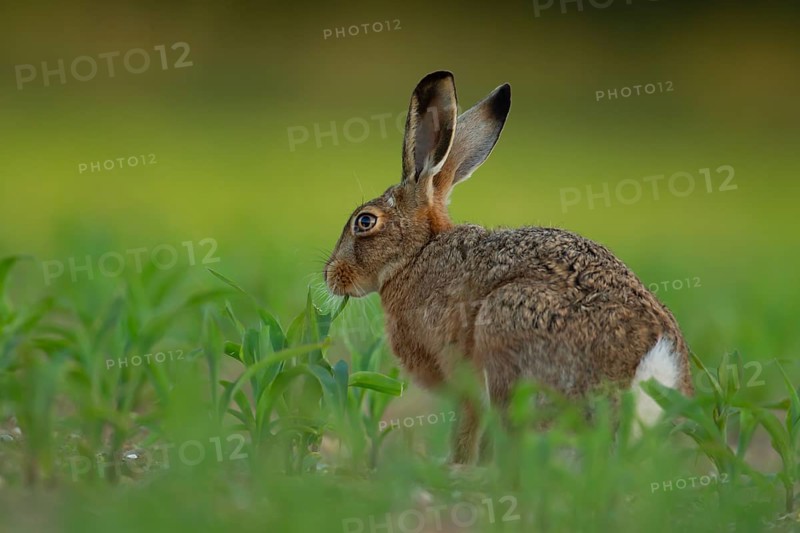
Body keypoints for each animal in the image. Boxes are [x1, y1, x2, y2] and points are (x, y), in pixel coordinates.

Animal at [324, 71, 693, 464]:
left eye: (365, 221)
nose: (331, 276)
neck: (417, 253)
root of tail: (651, 362)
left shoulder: (463, 377)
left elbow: (467, 426)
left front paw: (458, 465)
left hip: (507, 333)